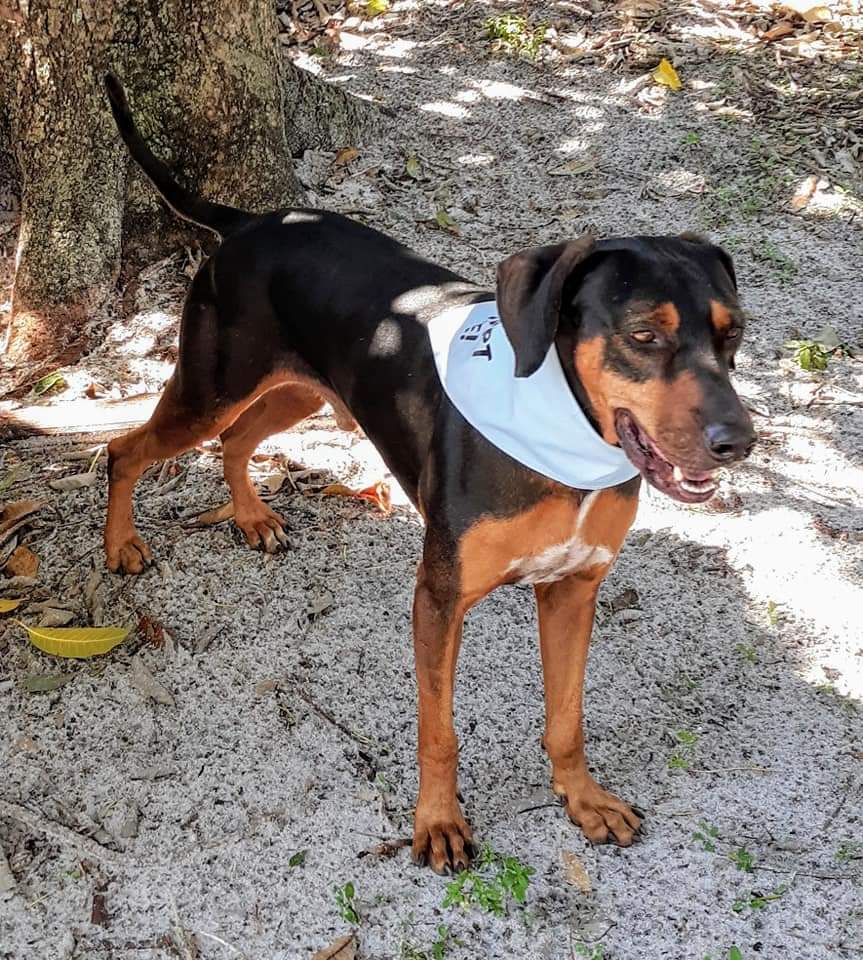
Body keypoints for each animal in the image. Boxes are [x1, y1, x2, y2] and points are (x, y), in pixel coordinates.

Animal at [103, 73, 756, 872]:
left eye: (733, 333)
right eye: (643, 335)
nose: (739, 442)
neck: (561, 438)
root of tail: (255, 221)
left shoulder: (572, 589)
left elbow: (566, 718)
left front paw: (582, 799)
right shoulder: (439, 600)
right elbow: (438, 731)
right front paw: (438, 822)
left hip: (297, 390)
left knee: (234, 441)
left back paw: (251, 514)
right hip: (211, 387)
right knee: (125, 450)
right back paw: (119, 544)